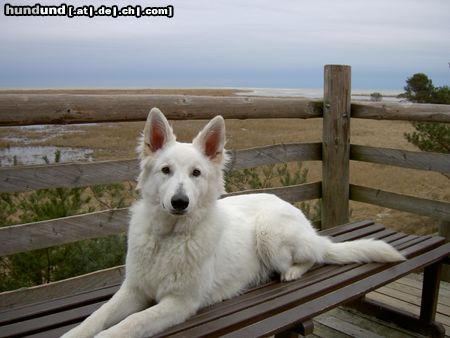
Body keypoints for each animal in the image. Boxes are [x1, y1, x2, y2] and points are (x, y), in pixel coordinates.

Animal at [62, 108, 404, 338]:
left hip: (270, 234)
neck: (168, 239)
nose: (180, 202)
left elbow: (127, 324)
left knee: (313, 257)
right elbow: (96, 317)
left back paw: (293, 271)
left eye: (196, 173)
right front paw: (75, 332)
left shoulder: (179, 303)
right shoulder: (133, 290)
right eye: (166, 170)